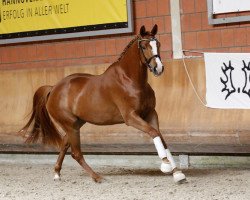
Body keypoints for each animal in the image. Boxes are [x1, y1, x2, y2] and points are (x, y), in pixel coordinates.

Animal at [20, 25, 186, 183]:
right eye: (144, 46)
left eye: (157, 44)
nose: (159, 68)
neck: (130, 80)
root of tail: (53, 88)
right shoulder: (131, 117)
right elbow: (154, 133)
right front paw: (166, 165)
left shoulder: (151, 113)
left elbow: (161, 138)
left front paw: (177, 173)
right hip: (70, 125)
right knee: (76, 153)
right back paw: (97, 177)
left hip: (75, 124)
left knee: (64, 145)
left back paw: (57, 174)